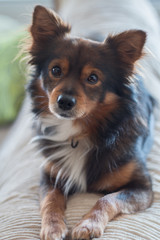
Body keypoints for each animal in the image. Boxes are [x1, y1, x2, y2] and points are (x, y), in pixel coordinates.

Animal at [26, 4, 156, 239]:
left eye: (93, 78)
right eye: (56, 70)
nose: (64, 102)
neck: (79, 132)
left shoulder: (142, 187)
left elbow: (108, 198)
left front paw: (88, 225)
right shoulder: (49, 175)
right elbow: (51, 199)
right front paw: (53, 226)